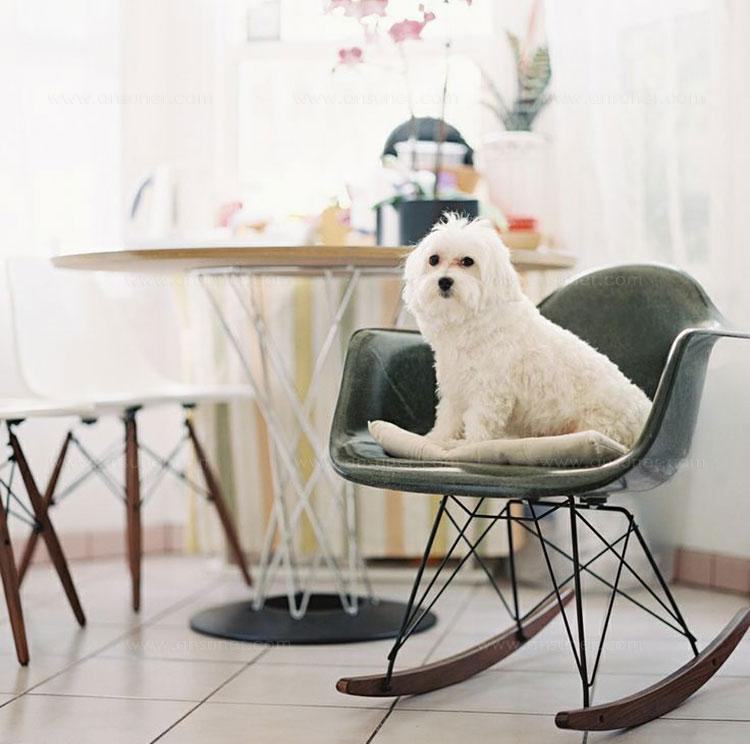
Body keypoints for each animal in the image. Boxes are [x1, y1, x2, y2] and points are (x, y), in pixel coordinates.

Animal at [402, 214, 651, 449]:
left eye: (467, 261)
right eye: (433, 259)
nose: (444, 281)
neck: (473, 323)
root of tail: (645, 415)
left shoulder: (490, 391)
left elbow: (479, 424)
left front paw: (467, 444)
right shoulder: (455, 386)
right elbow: (447, 418)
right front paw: (436, 439)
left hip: (597, 423)